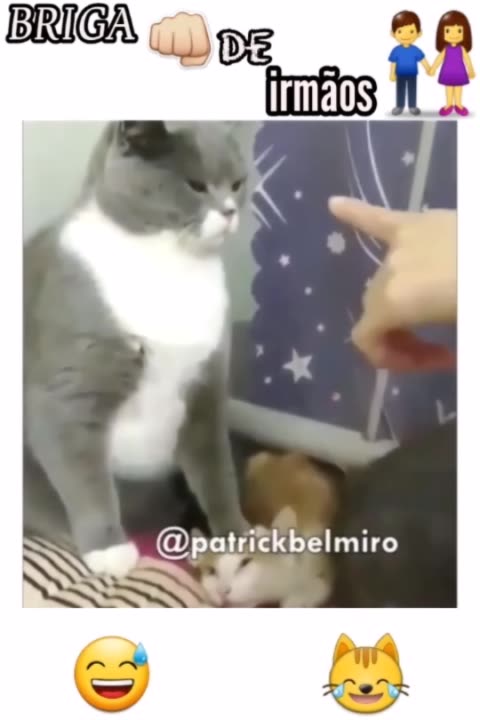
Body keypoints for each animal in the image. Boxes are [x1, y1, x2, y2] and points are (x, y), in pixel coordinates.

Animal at [24, 120, 249, 576]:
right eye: (196, 185)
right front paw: (110, 550)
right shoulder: (67, 393)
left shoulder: (207, 394)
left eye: (238, 183)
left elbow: (218, 473)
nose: (230, 210)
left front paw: (235, 534)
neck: (171, 265)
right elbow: (84, 475)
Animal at [191, 451, 341, 607]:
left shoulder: (320, 571)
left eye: (245, 563)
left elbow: (312, 590)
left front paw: (294, 600)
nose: (222, 591)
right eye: (211, 571)